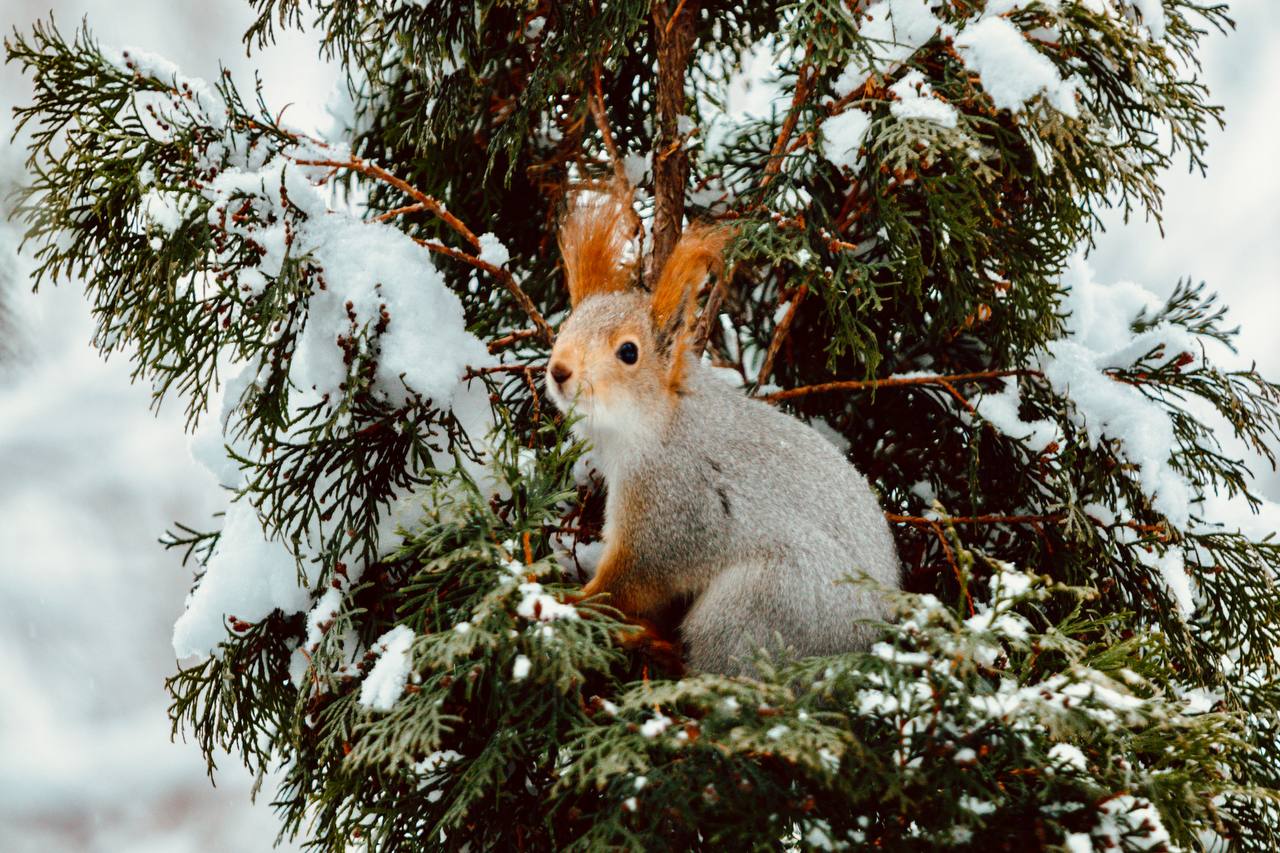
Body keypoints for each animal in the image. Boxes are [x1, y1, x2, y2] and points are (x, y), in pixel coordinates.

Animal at [547, 189, 901, 676]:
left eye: (628, 352)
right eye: (565, 326)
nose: (559, 371)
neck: (658, 423)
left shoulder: (673, 504)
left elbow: (630, 581)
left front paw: (568, 602)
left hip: (757, 604)